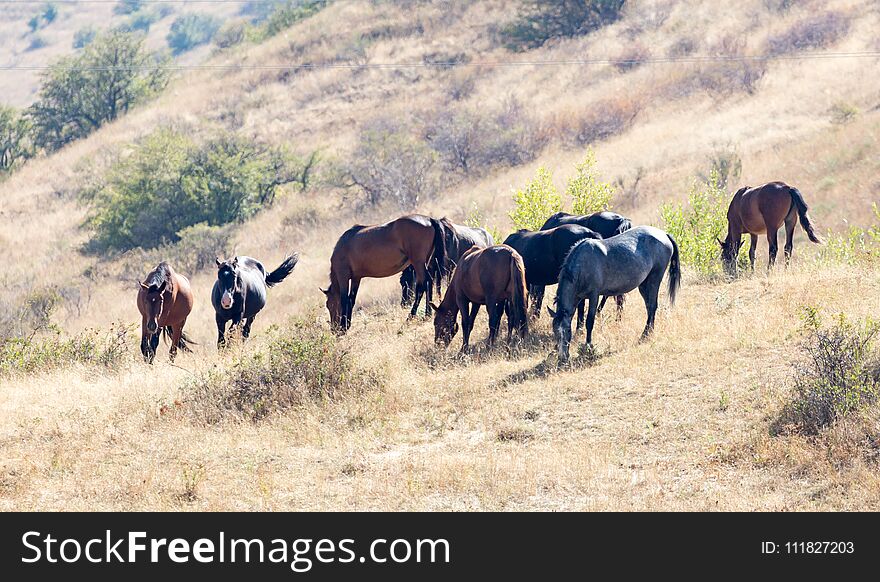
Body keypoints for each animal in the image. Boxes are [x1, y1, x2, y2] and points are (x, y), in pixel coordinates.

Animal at [548, 226, 684, 362]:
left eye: (567, 331)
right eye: (555, 332)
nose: (562, 357)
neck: (582, 265)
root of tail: (664, 234)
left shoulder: (594, 296)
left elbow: (589, 322)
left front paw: (588, 347)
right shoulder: (579, 299)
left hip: (654, 280)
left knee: (652, 306)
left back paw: (644, 335)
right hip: (644, 284)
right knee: (650, 307)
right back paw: (649, 333)